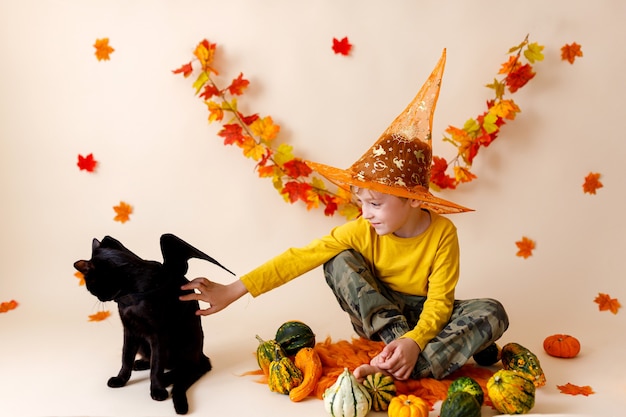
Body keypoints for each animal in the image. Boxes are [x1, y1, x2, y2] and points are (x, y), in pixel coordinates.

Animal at [73, 234, 234, 412]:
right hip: (144, 343)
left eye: (90, 286)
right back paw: (141, 363)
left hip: (184, 343)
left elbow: (156, 366)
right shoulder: (129, 330)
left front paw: (157, 390)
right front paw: (120, 379)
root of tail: (201, 355)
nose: (98, 297)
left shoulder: (158, 334)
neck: (130, 295)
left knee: (188, 367)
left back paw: (167, 378)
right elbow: (126, 358)